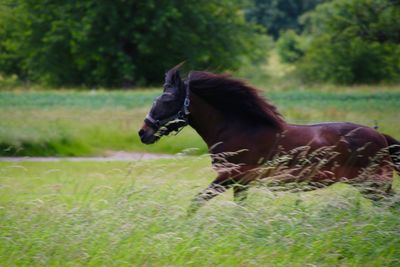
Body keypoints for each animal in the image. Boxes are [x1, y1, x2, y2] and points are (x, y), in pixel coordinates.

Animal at [138, 65, 400, 214]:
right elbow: (237, 208)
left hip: (374, 184)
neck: (238, 128)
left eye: (167, 100)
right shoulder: (240, 183)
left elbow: (197, 202)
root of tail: (380, 136)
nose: (143, 133)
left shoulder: (229, 177)